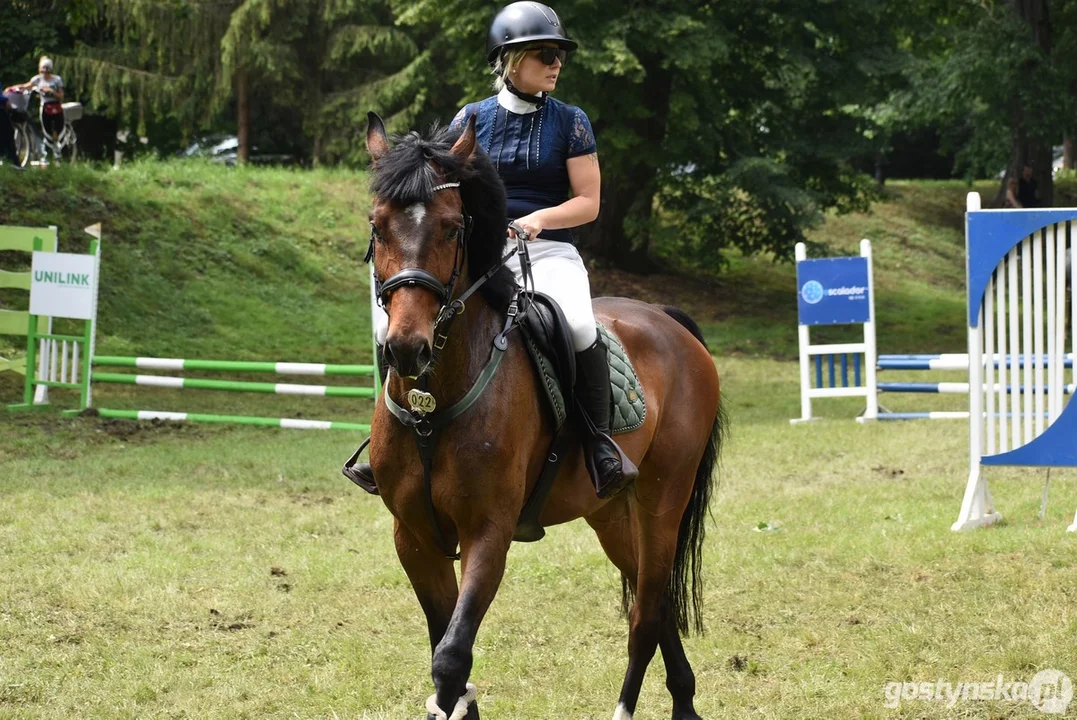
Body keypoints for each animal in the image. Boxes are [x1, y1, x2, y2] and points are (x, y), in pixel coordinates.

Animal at [359, 112, 723, 718]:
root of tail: (666, 319)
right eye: (378, 225)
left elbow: (451, 657)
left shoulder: (489, 532)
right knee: (656, 603)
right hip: (609, 512)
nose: (408, 348)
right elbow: (445, 652)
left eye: (453, 229)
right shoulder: (413, 536)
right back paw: (685, 703)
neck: (433, 406)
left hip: (663, 499)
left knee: (646, 613)